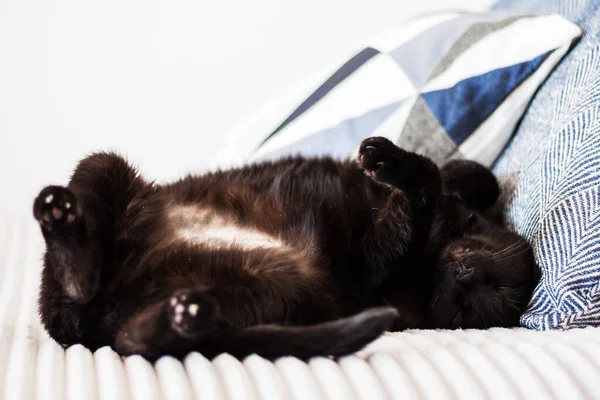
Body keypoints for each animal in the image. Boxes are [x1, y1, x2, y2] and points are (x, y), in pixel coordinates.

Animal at [31, 137, 540, 360]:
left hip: (280, 287)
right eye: (481, 286)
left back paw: (182, 316)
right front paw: (391, 162)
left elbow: (424, 190)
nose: (465, 273)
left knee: (132, 341)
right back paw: (63, 225)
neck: (431, 257)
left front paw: (395, 167)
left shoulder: (375, 265)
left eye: (467, 307)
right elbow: (468, 173)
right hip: (103, 164)